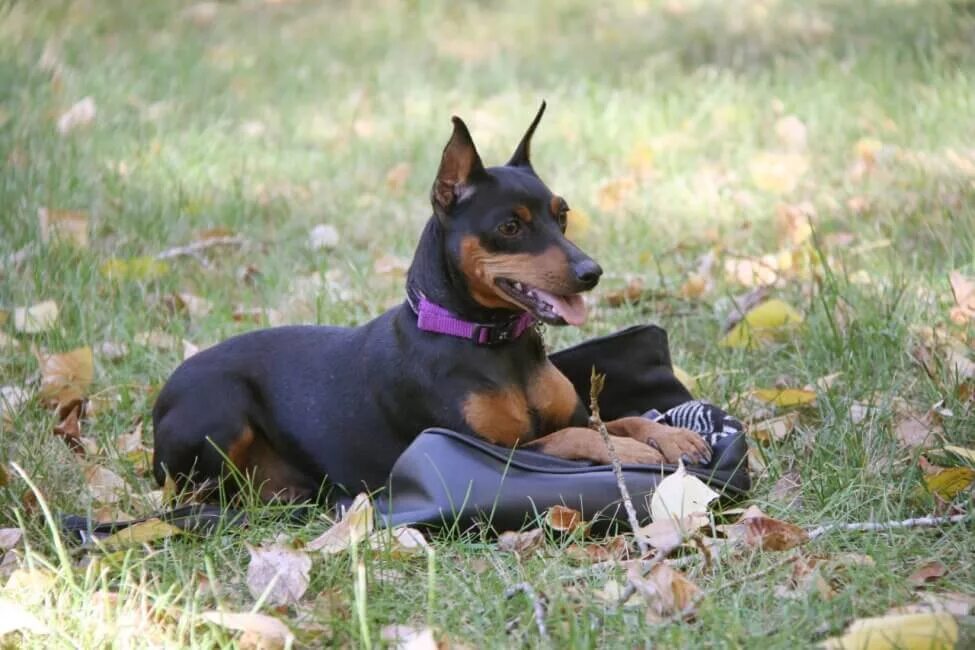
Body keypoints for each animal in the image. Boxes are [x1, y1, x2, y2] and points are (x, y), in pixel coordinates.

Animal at [154, 102, 716, 502]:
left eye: (562, 215)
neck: (490, 342)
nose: (591, 273)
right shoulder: (491, 449)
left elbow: (617, 420)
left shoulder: (570, 416)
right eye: (509, 227)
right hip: (221, 410)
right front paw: (631, 449)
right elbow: (582, 439)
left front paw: (669, 437)